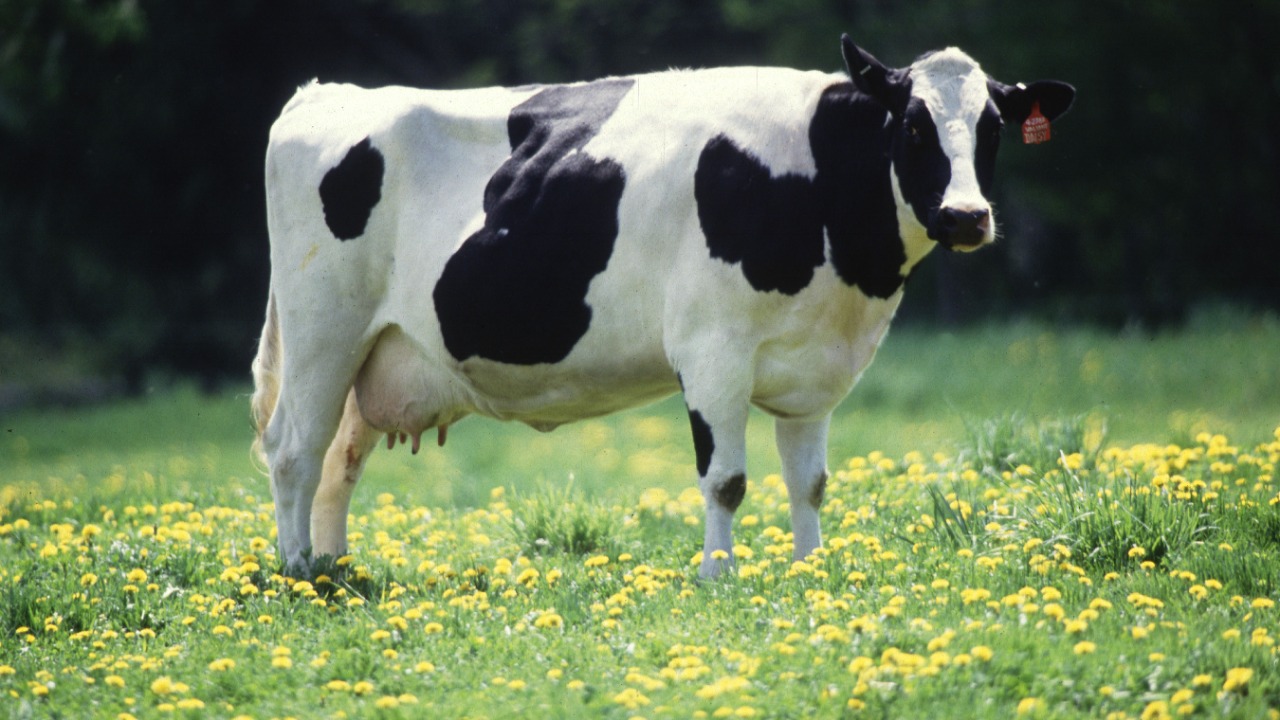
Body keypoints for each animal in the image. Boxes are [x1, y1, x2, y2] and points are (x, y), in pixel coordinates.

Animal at [251, 35, 1074, 578]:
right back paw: (299, 574)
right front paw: (718, 576)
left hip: (375, 351)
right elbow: (727, 479)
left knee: (339, 460)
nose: (966, 216)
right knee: (294, 449)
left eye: (993, 127)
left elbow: (809, 481)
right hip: (323, 329)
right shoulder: (713, 350)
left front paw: (811, 571)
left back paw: (336, 569)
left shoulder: (815, 370)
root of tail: (325, 93)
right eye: (912, 124)